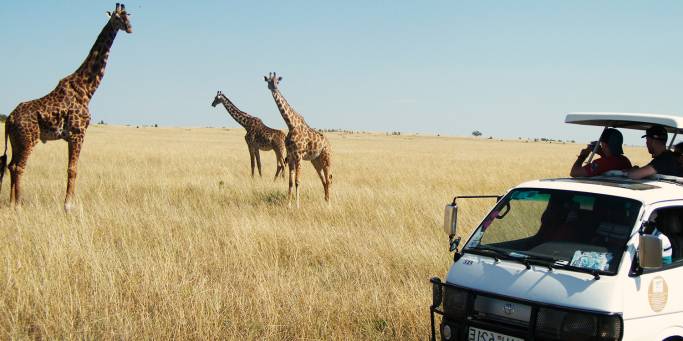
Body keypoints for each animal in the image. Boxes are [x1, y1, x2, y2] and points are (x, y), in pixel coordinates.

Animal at [0, 3, 133, 210]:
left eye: (129, 16)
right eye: (118, 17)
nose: (130, 28)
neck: (87, 89)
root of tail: (10, 119)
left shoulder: (72, 136)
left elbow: (71, 168)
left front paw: (68, 204)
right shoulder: (78, 133)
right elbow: (72, 169)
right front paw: (68, 205)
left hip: (17, 140)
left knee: (11, 165)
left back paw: (12, 202)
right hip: (29, 139)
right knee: (19, 167)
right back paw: (18, 205)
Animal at [264, 71, 332, 207]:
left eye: (277, 81)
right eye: (268, 81)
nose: (274, 87)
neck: (291, 125)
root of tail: (328, 143)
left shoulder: (299, 156)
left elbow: (297, 181)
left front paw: (297, 206)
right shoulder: (290, 156)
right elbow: (290, 182)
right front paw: (288, 205)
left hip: (326, 158)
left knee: (329, 179)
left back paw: (329, 204)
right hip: (316, 161)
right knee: (323, 180)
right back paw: (325, 201)